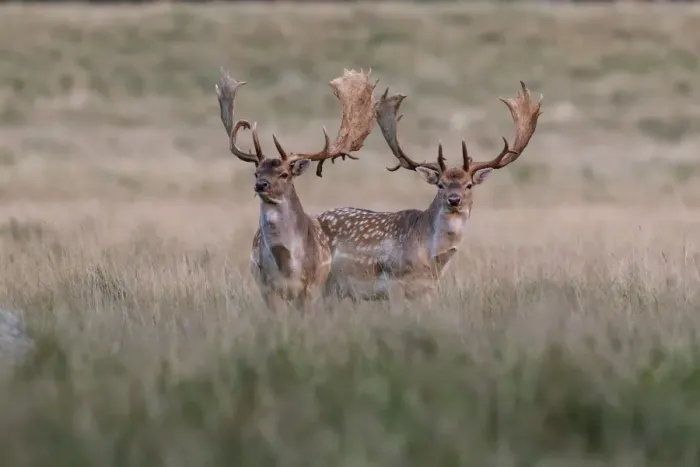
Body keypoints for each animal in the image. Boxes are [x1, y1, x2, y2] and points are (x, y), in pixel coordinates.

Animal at [215, 67, 377, 310]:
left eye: (285, 174)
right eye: (256, 172)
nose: (261, 185)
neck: (287, 266)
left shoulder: (309, 288)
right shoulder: (267, 287)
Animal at [318, 81, 543, 302]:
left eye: (469, 185)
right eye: (440, 184)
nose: (454, 199)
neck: (430, 259)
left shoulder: (429, 289)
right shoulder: (393, 284)